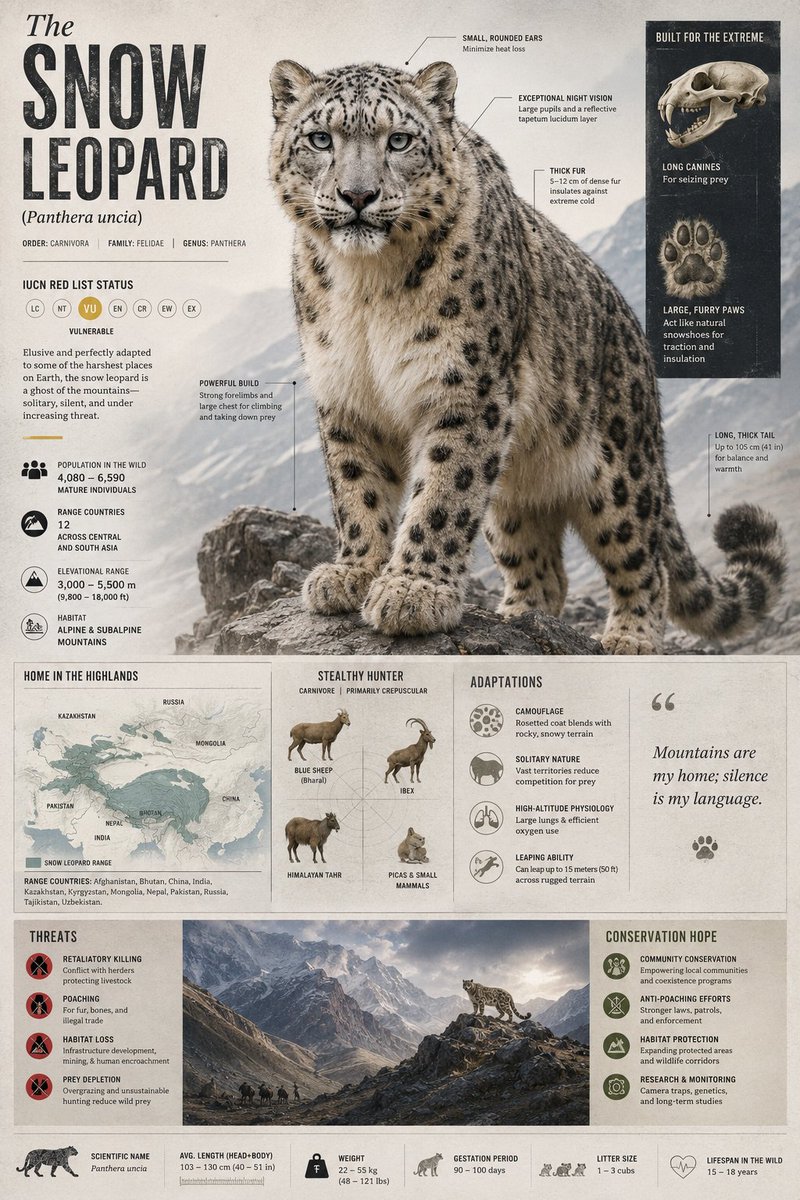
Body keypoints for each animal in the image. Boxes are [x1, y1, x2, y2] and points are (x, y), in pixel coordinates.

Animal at [269, 59, 785, 654]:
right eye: (320, 139)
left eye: (398, 140)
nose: (358, 195)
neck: (366, 285)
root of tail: (642, 350)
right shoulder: (346, 394)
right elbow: (357, 490)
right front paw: (351, 572)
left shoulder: (466, 389)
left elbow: (441, 494)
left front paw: (413, 591)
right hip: (511, 499)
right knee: (544, 571)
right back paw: (518, 618)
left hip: (620, 477)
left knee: (644, 561)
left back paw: (628, 638)